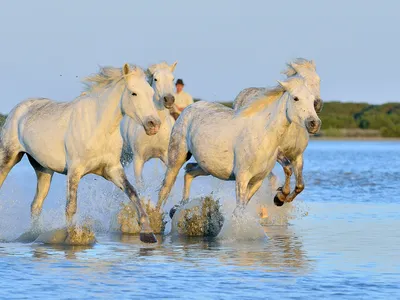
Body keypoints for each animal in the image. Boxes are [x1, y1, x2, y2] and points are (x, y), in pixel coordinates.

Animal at [1, 63, 161, 244]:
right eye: (133, 93)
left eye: (151, 93)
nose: (154, 124)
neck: (98, 128)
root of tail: (19, 108)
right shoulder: (74, 171)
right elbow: (71, 206)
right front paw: (74, 237)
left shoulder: (112, 169)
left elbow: (133, 193)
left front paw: (148, 233)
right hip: (8, 158)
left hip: (43, 169)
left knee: (36, 205)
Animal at [157, 75, 322, 216]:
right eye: (296, 98)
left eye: (313, 100)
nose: (314, 123)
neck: (263, 135)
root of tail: (190, 107)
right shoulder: (242, 178)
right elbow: (240, 210)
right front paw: (279, 197)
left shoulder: (257, 181)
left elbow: (240, 210)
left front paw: (279, 198)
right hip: (176, 158)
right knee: (165, 187)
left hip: (207, 167)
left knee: (189, 172)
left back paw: (180, 207)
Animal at [233, 58, 324, 206]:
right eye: (301, 79)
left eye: (318, 79)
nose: (317, 104)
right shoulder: (279, 154)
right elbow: (288, 170)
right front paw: (280, 197)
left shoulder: (297, 155)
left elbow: (300, 185)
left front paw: (286, 197)